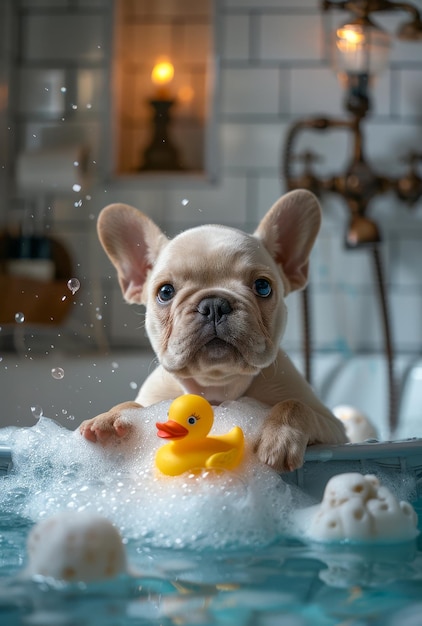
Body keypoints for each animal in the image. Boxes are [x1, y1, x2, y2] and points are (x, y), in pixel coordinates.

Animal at [79, 190, 346, 468]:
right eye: (165, 292)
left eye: (263, 287)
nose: (214, 304)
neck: (217, 387)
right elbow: (131, 405)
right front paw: (110, 418)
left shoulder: (333, 427)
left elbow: (294, 405)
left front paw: (279, 437)